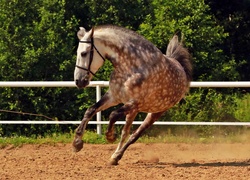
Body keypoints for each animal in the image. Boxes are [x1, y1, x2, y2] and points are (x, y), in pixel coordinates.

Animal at [72, 24, 191, 165]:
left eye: (84, 53)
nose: (79, 81)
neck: (131, 67)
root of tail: (180, 68)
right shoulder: (113, 97)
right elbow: (90, 110)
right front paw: (77, 143)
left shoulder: (134, 102)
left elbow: (113, 114)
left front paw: (110, 136)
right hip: (134, 111)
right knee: (126, 132)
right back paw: (115, 157)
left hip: (154, 112)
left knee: (134, 135)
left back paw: (117, 155)